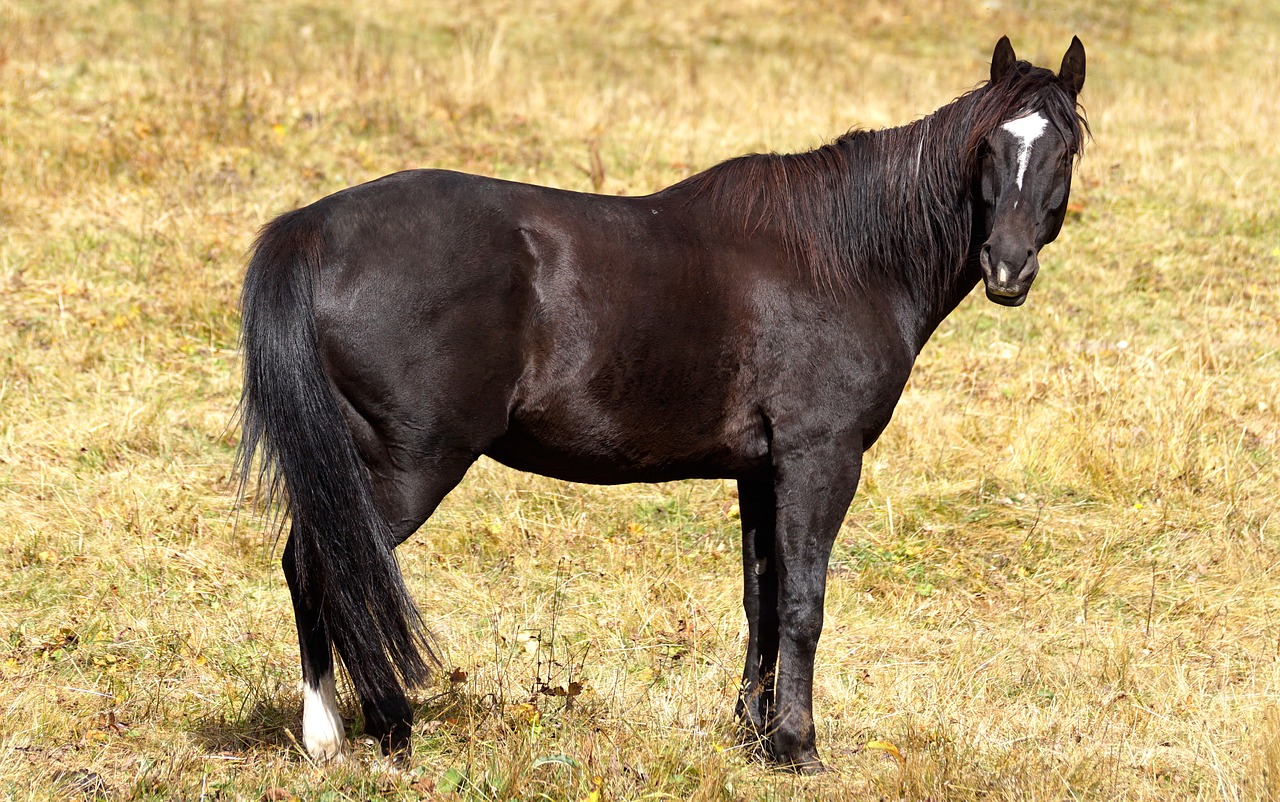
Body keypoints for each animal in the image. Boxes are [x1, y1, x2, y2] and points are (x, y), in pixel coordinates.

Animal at [235, 36, 1085, 772]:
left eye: (1064, 149)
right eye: (990, 147)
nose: (1007, 268)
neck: (844, 257)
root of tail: (311, 231)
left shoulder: (760, 471)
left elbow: (761, 599)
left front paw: (754, 734)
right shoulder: (820, 459)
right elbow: (803, 601)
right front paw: (798, 746)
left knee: (310, 565)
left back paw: (330, 736)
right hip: (409, 466)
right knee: (330, 565)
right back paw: (375, 730)